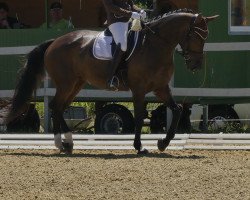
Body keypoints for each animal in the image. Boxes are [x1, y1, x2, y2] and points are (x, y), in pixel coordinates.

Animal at [4, 10, 218, 154]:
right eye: (196, 35)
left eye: (206, 36)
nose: (196, 64)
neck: (155, 45)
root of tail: (54, 42)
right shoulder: (139, 89)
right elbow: (139, 117)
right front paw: (139, 147)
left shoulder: (161, 88)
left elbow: (177, 109)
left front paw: (163, 143)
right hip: (66, 83)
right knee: (56, 106)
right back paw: (61, 143)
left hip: (76, 84)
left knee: (59, 108)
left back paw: (68, 143)